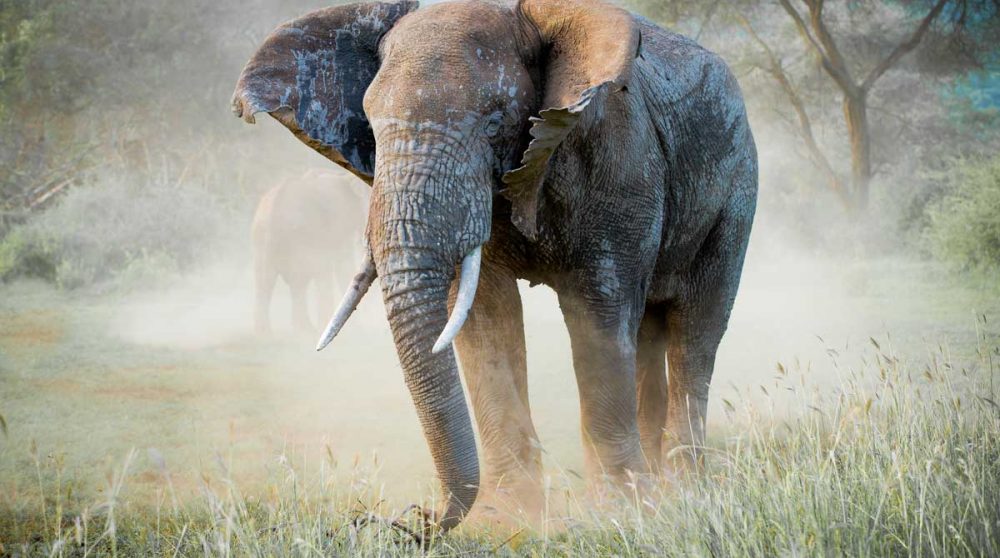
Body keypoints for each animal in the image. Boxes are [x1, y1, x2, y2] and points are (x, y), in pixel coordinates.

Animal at [252, 168, 368, 334]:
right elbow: (342, 265)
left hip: (262, 239)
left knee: (266, 281)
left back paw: (268, 333)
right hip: (302, 236)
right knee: (302, 278)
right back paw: (307, 328)